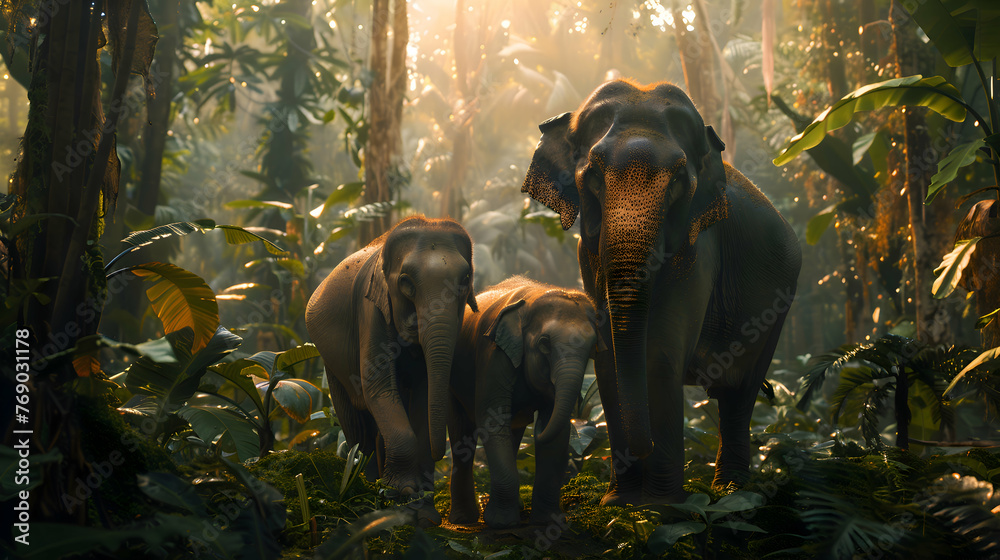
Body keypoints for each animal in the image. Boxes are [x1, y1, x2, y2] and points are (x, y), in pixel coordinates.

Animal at [304, 215, 478, 523]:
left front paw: (424, 512)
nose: (442, 453)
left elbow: (423, 393)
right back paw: (363, 494)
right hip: (331, 365)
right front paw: (401, 492)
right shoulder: (370, 310)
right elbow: (379, 386)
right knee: (357, 428)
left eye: (466, 280)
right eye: (406, 283)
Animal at [447, 276, 602, 528]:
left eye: (592, 347)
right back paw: (464, 519)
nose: (535, 425)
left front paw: (546, 521)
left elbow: (556, 430)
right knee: (462, 433)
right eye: (544, 343)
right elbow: (492, 419)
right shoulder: (493, 354)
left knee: (512, 434)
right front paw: (501, 523)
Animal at [521, 79, 802, 506]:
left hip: (780, 303)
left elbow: (661, 353)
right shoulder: (588, 253)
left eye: (679, 180)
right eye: (594, 174)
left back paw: (732, 492)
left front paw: (661, 505)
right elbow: (608, 357)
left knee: (739, 395)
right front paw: (618, 502)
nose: (643, 448)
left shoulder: (698, 246)